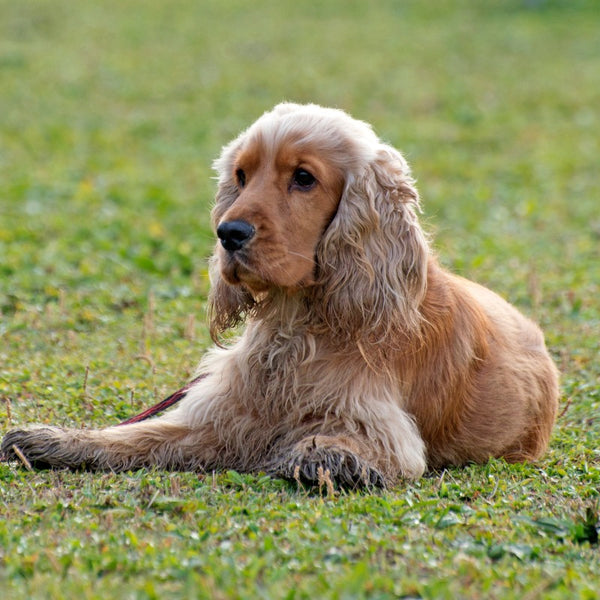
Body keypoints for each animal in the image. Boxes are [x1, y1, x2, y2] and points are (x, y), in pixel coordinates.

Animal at [1, 103, 564, 488]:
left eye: (304, 178)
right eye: (241, 175)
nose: (228, 233)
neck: (301, 322)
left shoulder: (381, 427)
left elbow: (343, 442)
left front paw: (323, 455)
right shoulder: (225, 415)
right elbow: (137, 437)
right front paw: (48, 440)